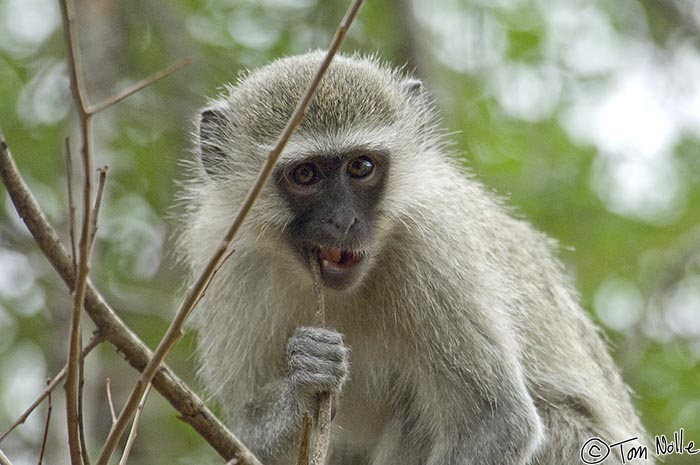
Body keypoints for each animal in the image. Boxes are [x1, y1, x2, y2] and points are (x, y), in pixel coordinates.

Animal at [178, 51, 648, 464]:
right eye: (306, 174)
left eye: (361, 167)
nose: (343, 220)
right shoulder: (227, 260)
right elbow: (247, 436)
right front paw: (304, 380)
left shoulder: (432, 245)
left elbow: (495, 422)